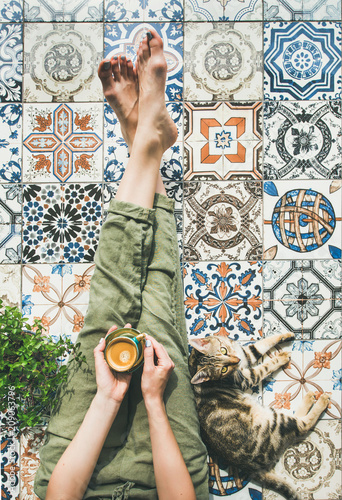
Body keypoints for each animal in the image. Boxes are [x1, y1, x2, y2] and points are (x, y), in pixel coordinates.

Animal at [190, 332, 332, 500]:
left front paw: (285, 335)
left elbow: (261, 344)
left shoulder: (245, 353)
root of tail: (251, 468)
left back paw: (309, 398)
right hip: (276, 421)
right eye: (223, 369)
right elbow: (265, 366)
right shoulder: (246, 378)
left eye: (224, 350)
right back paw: (319, 400)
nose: (236, 361)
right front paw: (282, 357)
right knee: (302, 425)